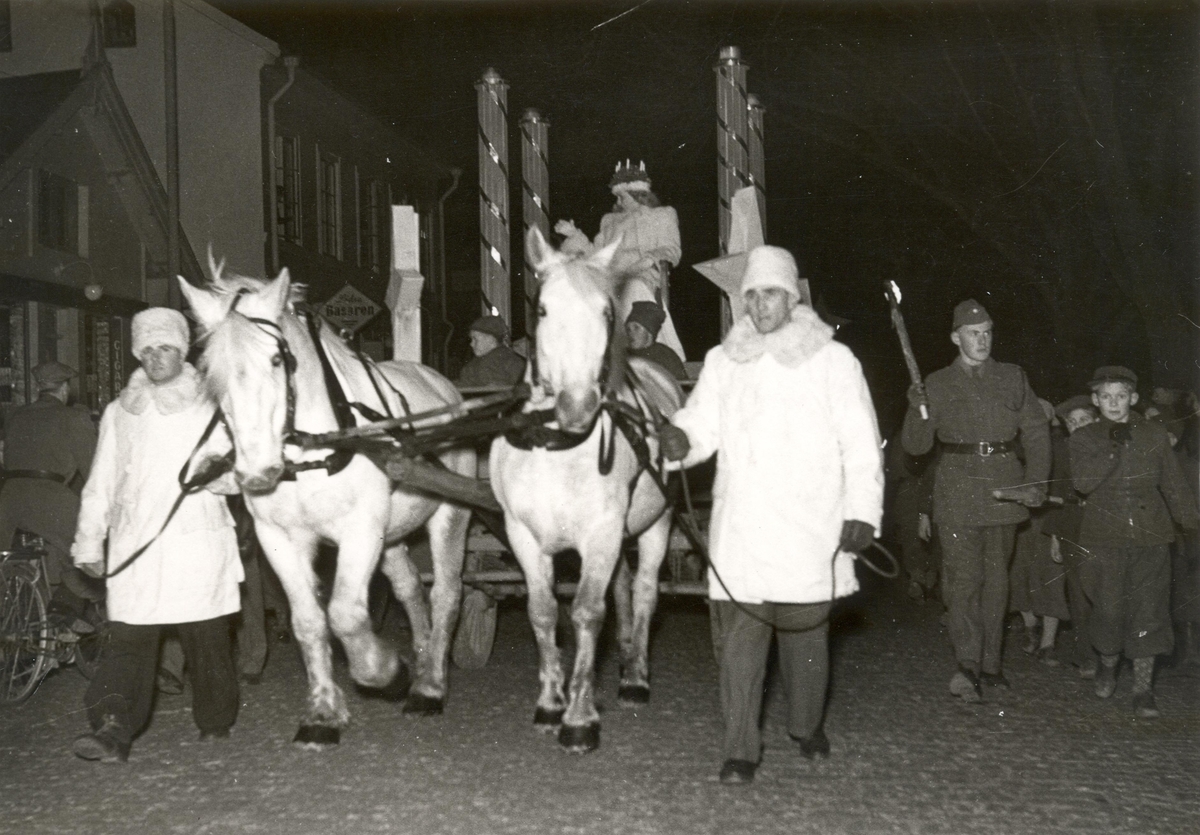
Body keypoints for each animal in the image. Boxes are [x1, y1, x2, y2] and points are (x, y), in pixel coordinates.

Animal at [177, 263, 472, 748]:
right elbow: (309, 621)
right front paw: (322, 713)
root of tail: (443, 385)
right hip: (391, 535)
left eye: (277, 361)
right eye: (208, 371)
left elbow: (346, 615)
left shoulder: (360, 529)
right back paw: (423, 654)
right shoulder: (279, 538)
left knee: (447, 593)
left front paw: (385, 673)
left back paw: (429, 686)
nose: (256, 473)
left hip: (451, 514)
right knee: (410, 588)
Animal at [484, 230, 676, 758]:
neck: (556, 446)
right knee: (624, 590)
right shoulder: (523, 535)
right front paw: (551, 702)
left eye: (607, 312)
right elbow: (544, 611)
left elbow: (588, 613)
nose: (576, 406)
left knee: (645, 591)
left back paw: (634, 677)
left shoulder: (603, 532)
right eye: (543, 309)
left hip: (657, 523)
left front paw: (579, 717)